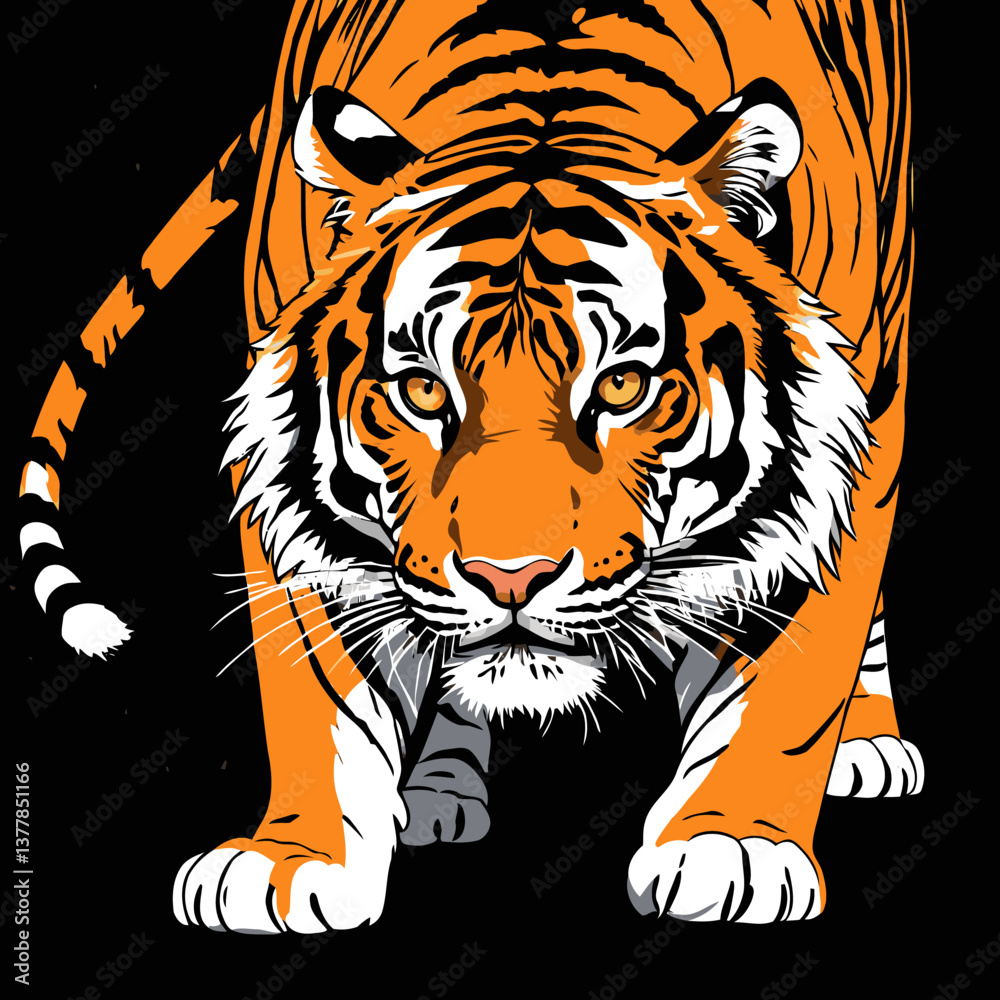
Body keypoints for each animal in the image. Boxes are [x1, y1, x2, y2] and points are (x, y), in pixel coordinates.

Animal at [18, 0, 921, 930]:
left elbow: (787, 670)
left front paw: (730, 843)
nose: (509, 578)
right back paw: (438, 790)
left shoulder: (850, 439)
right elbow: (317, 688)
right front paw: (292, 862)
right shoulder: (284, 498)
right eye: (422, 389)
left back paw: (868, 741)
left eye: (623, 384)